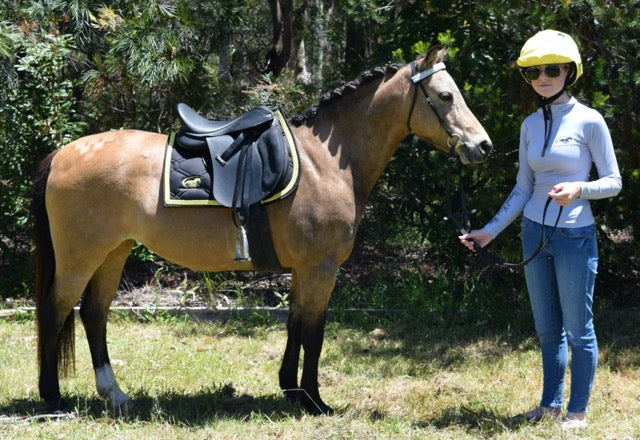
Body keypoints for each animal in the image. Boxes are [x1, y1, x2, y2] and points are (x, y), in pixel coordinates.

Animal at [31, 45, 490, 416]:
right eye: (445, 96)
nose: (483, 146)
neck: (325, 162)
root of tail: (62, 153)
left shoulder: (304, 269)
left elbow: (295, 324)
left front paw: (291, 390)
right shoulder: (321, 268)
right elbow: (314, 332)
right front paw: (314, 400)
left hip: (114, 252)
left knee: (94, 313)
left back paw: (114, 394)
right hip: (81, 257)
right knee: (55, 311)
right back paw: (52, 397)